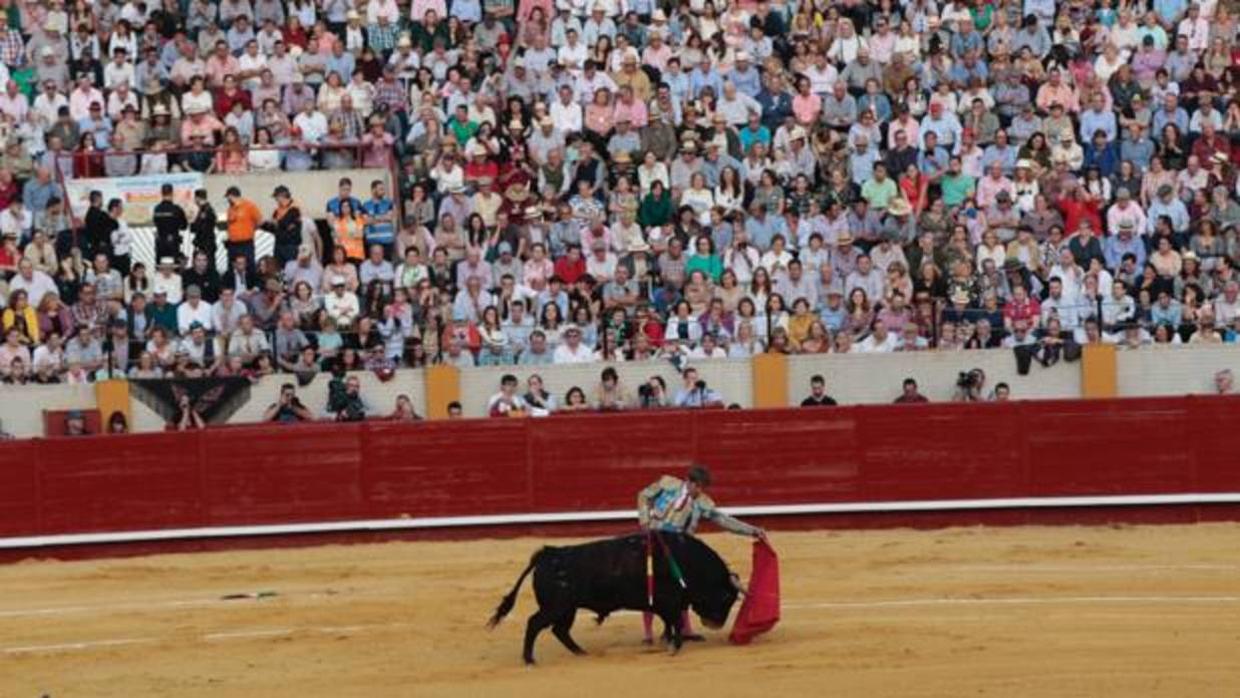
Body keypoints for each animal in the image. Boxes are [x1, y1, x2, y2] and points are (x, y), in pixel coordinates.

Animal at [483, 533, 739, 664]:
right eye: (727, 599)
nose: (716, 624)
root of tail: (548, 553)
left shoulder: (664, 604)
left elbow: (669, 622)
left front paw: (667, 641)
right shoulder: (670, 602)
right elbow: (674, 621)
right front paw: (674, 646)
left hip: (568, 609)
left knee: (560, 630)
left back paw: (581, 652)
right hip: (556, 606)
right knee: (535, 624)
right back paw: (529, 659)